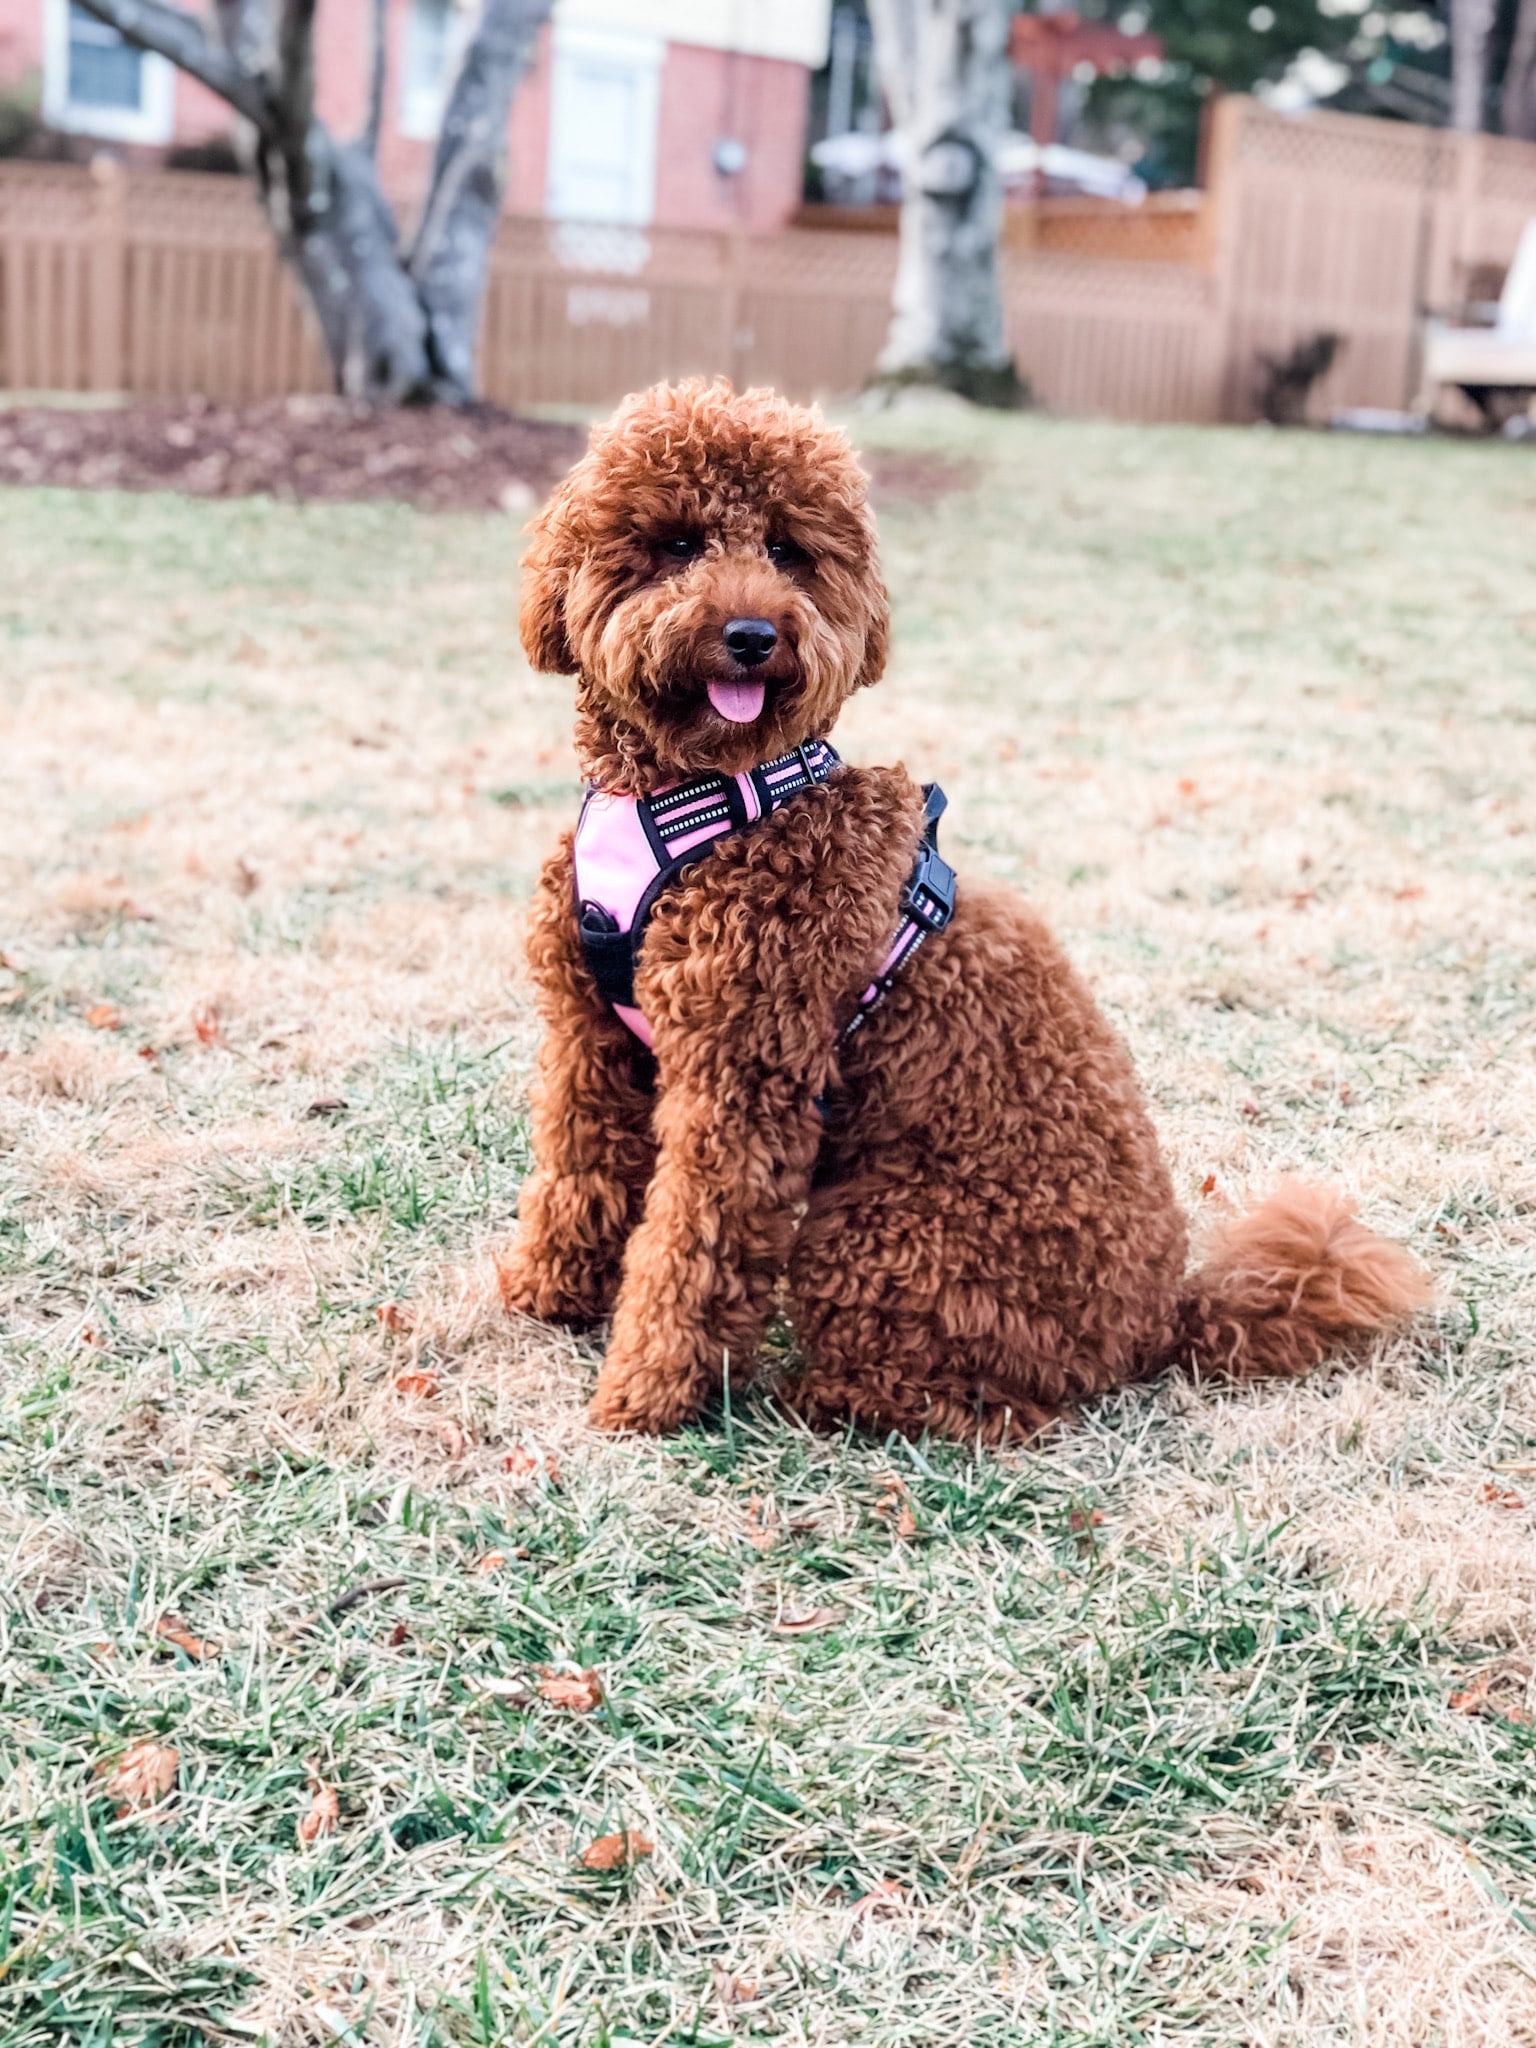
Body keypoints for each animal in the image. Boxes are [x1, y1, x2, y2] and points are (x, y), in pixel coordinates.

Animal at [501, 385, 1433, 1441]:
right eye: (678, 544)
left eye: (786, 550)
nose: (752, 635)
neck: (705, 798)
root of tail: (1163, 1321)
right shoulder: (592, 1035)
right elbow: (576, 1168)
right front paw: (547, 1294)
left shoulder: (741, 1074)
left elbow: (695, 1244)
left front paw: (645, 1395)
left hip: (874, 1236)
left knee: (975, 1404)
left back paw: (816, 1399)